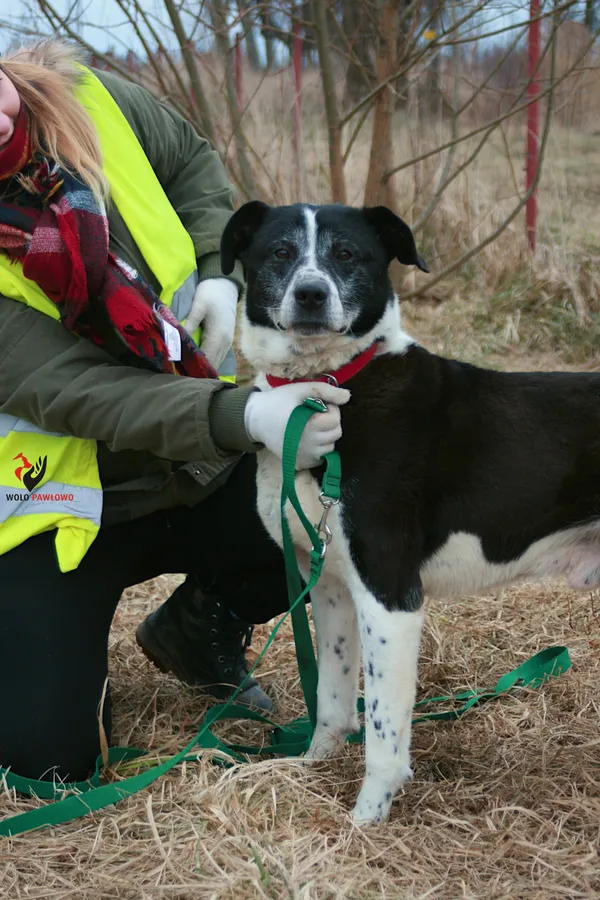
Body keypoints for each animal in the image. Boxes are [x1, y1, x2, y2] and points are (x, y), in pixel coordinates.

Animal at [220, 204, 600, 828]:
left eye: (346, 254)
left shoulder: (391, 596)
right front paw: (310, 768)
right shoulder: (330, 587)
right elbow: (332, 700)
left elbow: (383, 733)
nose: (310, 294)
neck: (327, 391)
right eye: (279, 252)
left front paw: (363, 823)